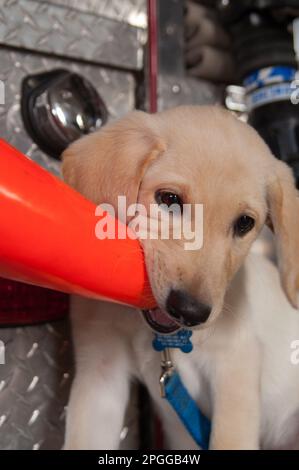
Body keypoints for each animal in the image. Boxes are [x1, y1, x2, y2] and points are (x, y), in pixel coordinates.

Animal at [62, 105, 299, 448]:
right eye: (170, 200)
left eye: (244, 223)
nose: (190, 312)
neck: (155, 337)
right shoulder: (100, 374)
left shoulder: (235, 365)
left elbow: (228, 439)